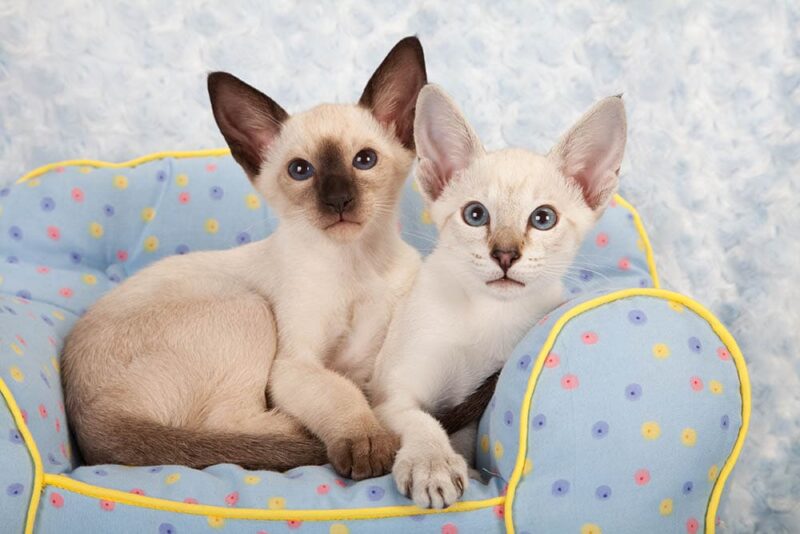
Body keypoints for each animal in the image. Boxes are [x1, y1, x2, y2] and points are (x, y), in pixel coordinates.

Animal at [61, 37, 424, 482]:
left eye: (365, 161)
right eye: (300, 170)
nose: (339, 201)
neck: (355, 263)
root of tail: (86, 421)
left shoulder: (373, 361)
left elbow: (365, 385)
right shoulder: (295, 365)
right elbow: (341, 393)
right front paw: (367, 442)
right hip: (249, 308)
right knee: (228, 425)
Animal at [372, 85, 628, 510]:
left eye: (543, 219)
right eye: (475, 215)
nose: (505, 255)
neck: (488, 315)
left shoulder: (473, 408)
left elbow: (464, 440)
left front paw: (457, 467)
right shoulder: (389, 397)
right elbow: (423, 420)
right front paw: (433, 465)